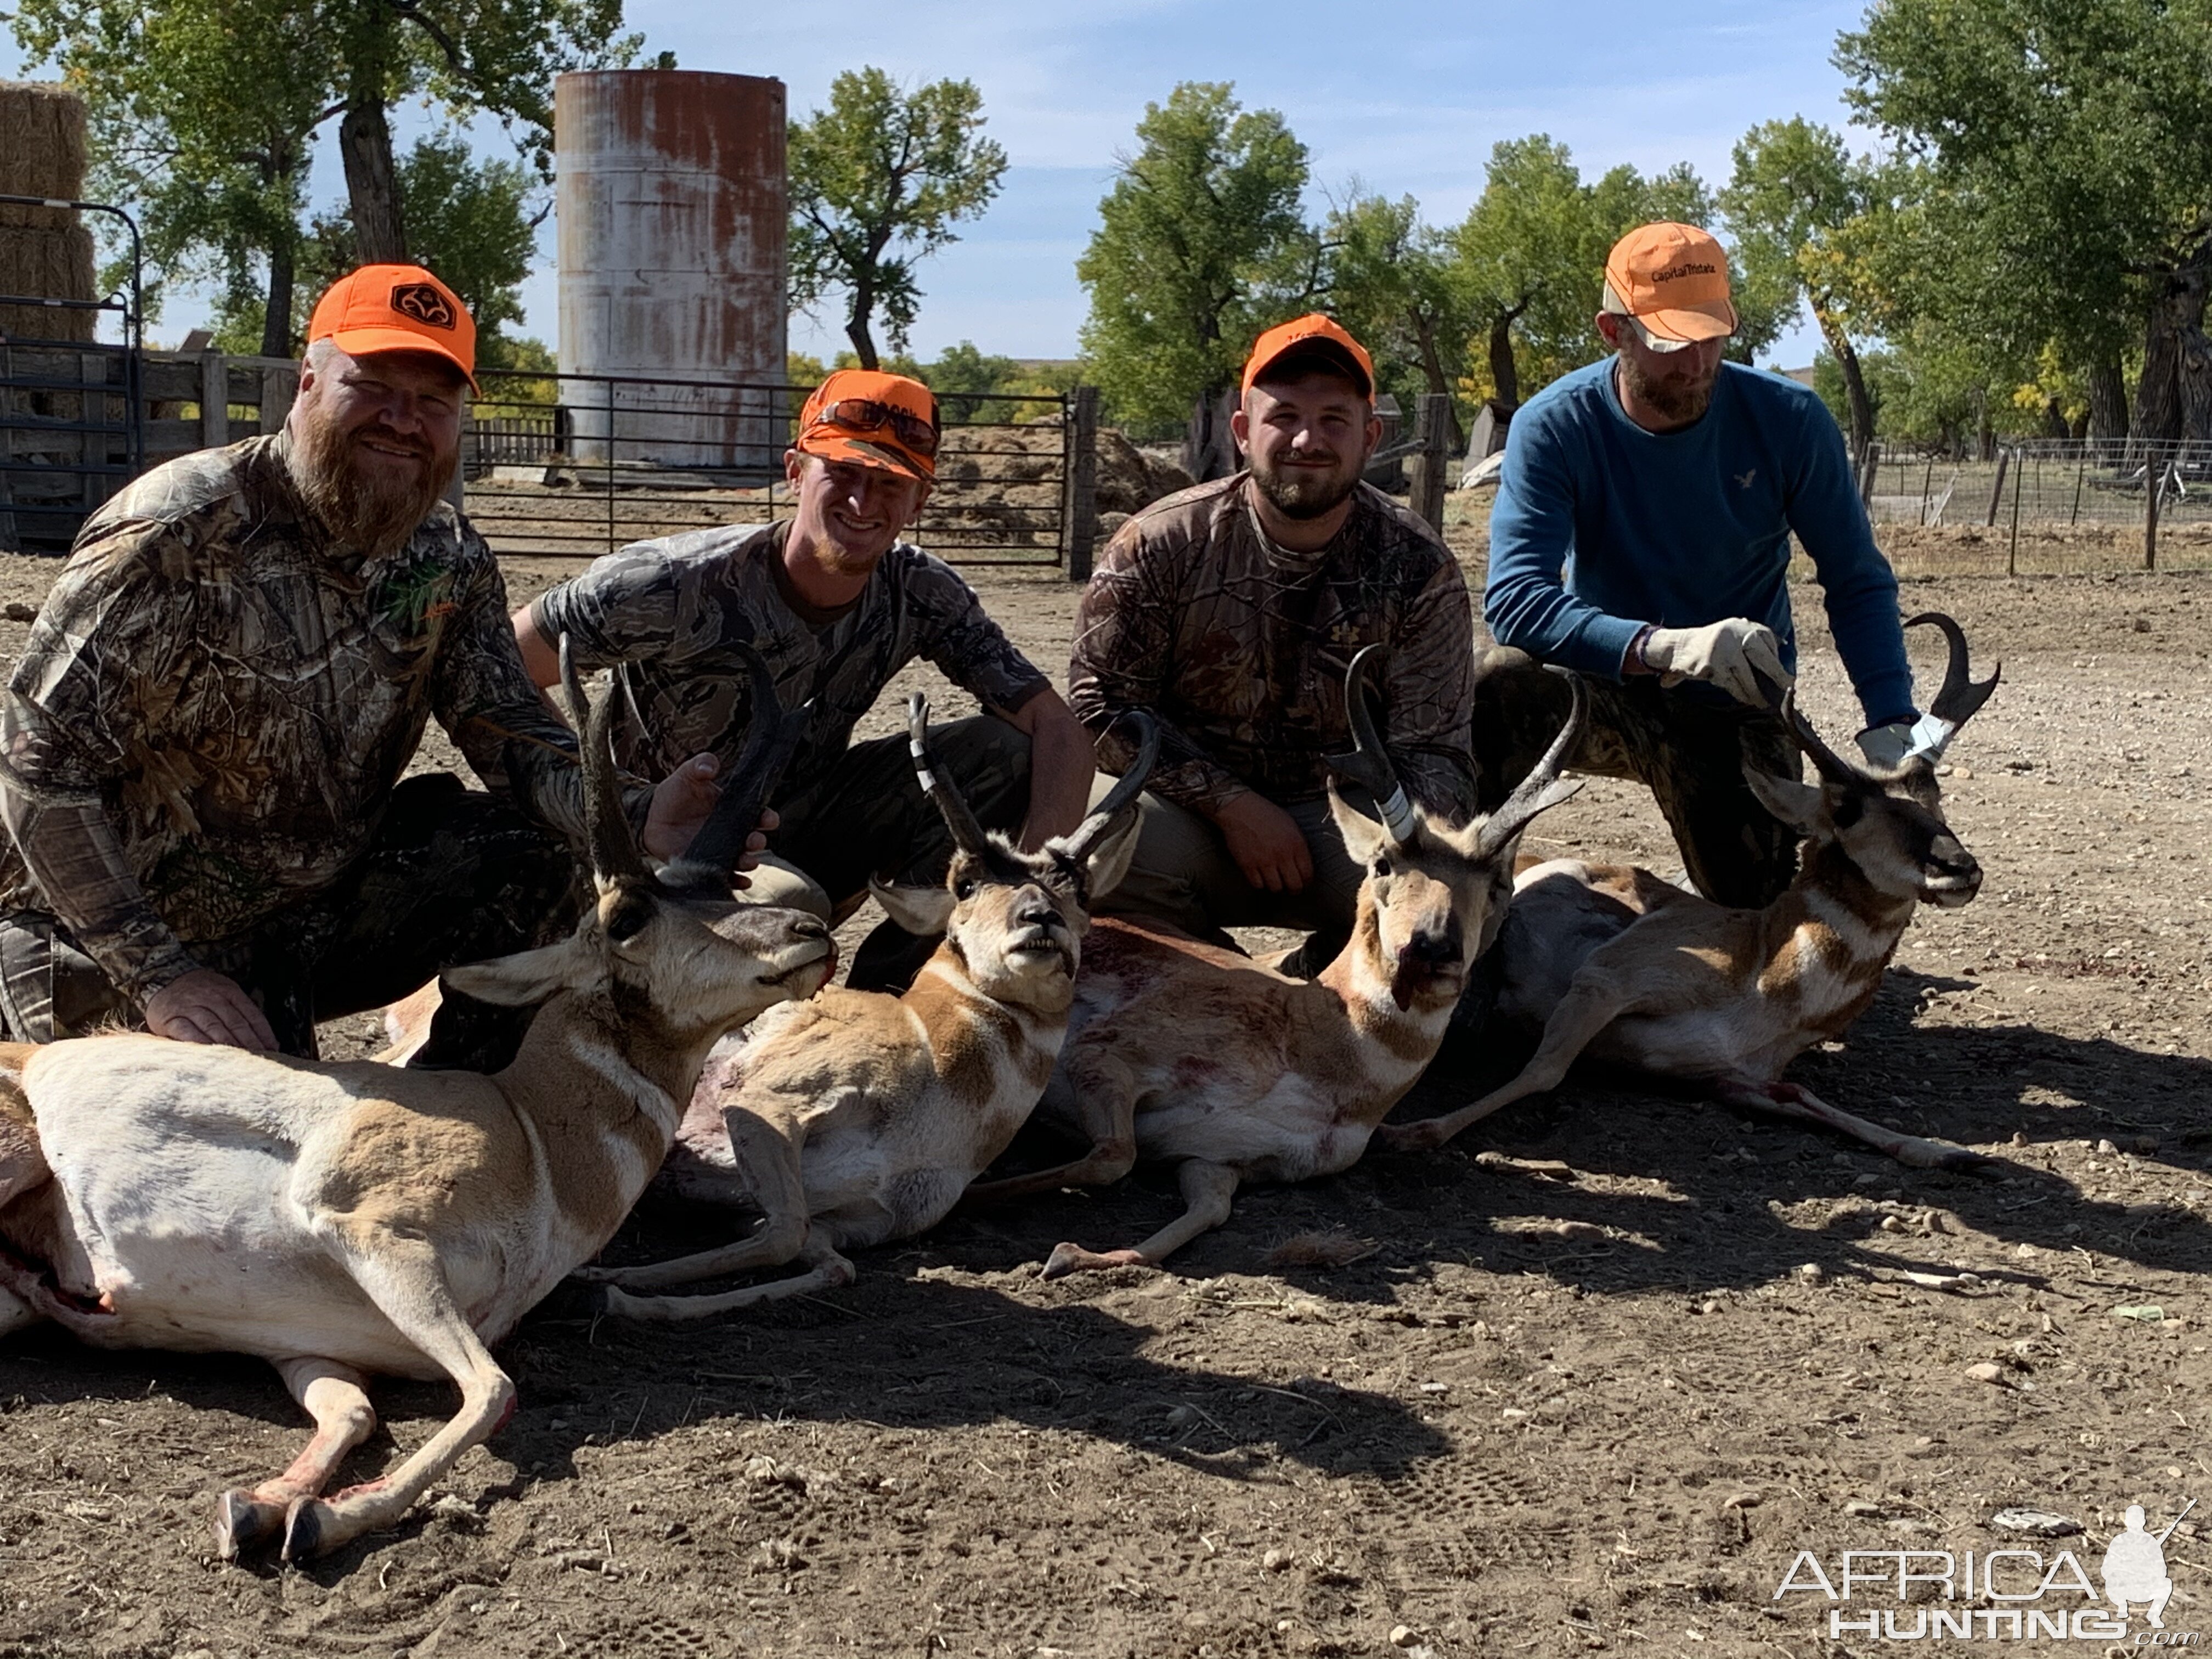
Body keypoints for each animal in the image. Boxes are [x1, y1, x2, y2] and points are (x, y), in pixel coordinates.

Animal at [0, 641, 832, 1566]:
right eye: (626, 918)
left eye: (726, 887)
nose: (811, 936)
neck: (531, 1135)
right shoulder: (371, 1231)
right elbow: (493, 1391)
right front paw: (327, 1519)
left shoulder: (316, 1351)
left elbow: (357, 1413)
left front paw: (260, 1507)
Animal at [566, 690, 1159, 1327]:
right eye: (965, 884)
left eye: (1077, 889)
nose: (1040, 918)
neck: (932, 1057)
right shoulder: (762, 1107)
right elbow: (784, 1231)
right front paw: (606, 1279)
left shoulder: (835, 1224)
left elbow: (820, 1259)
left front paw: (624, 1292)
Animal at [991, 654, 1593, 1283]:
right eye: (1383, 863)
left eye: (1497, 883)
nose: (1431, 948)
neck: (1318, 1038)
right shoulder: (1103, 1057)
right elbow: (1114, 1154)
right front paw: (988, 1197)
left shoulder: (1213, 1163)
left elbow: (1193, 1215)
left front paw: (1071, 1253)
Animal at [1371, 610, 1999, 1167]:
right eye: (1846, 808)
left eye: (1933, 796)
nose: (1960, 869)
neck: (1764, 967)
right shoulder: (1602, 984)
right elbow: (1544, 1072)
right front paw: (1410, 1132)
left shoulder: (1731, 1079)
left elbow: (1802, 1095)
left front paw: (1947, 1153)